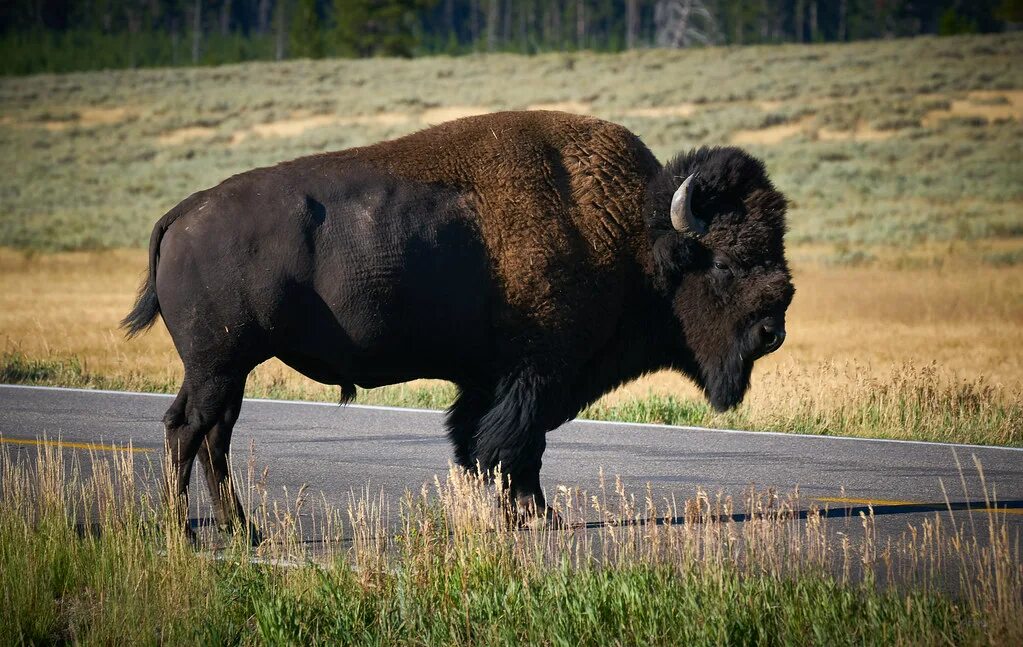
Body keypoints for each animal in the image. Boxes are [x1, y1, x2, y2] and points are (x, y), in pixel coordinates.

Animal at [119, 108, 789, 528]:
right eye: (723, 262)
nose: (772, 329)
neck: (630, 233)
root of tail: (182, 213)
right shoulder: (536, 376)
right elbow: (516, 447)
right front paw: (535, 516)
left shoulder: (492, 381)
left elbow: (479, 441)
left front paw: (518, 513)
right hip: (218, 367)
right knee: (190, 432)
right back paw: (185, 533)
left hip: (225, 371)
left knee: (210, 435)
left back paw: (240, 530)